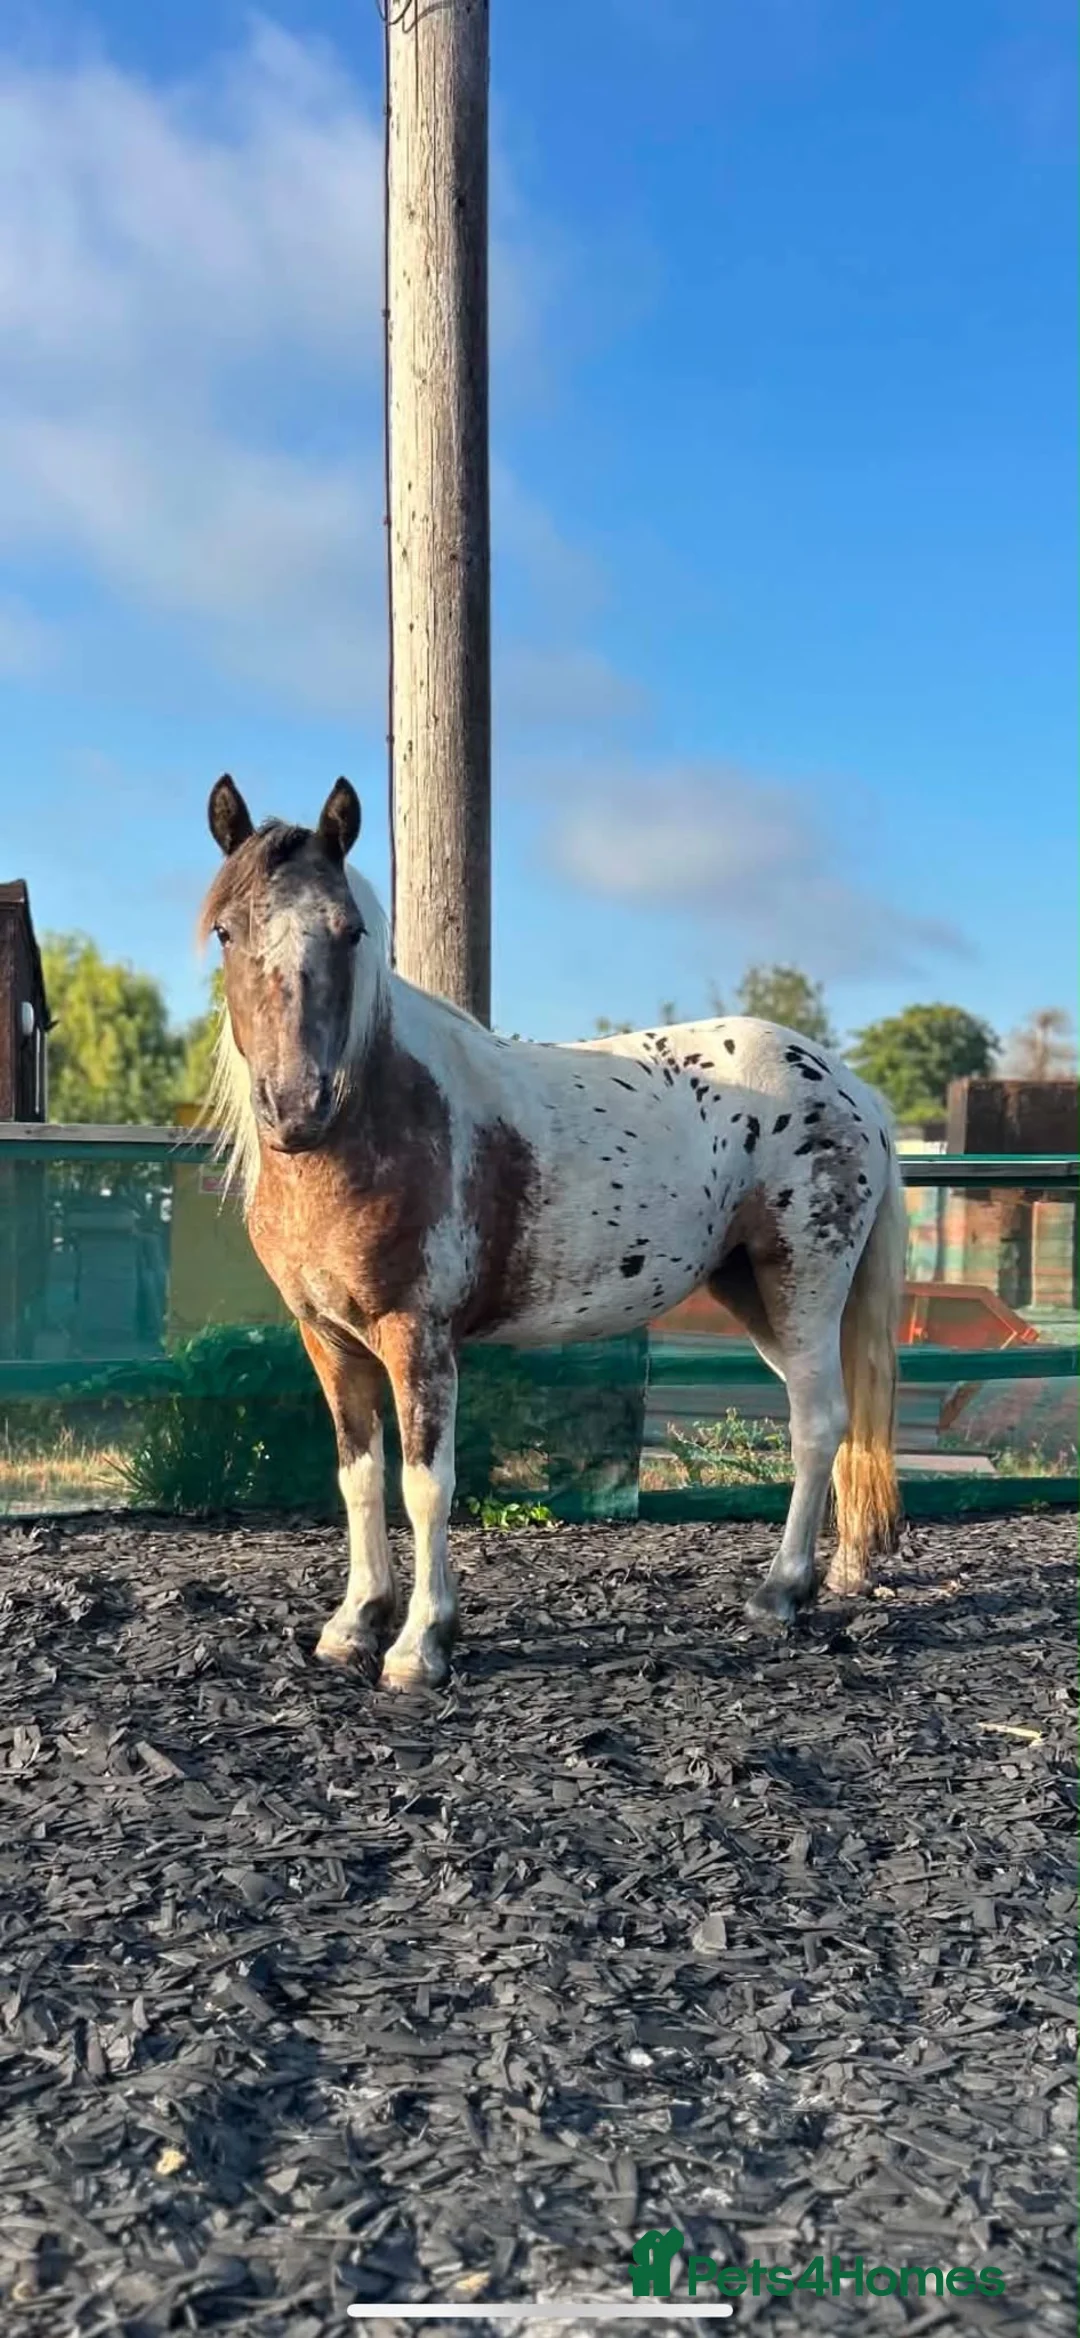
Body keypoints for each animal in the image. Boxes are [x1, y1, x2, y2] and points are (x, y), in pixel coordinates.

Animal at [198, 773, 907, 1692]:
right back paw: (825, 1578)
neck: (381, 1117)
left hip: (803, 1286)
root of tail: (847, 1084)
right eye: (227, 930)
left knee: (817, 1423)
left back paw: (779, 1593)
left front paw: (420, 1644)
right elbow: (358, 1479)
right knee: (829, 1420)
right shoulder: (328, 1339)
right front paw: (354, 1624)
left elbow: (425, 1485)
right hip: (754, 1293)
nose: (295, 1107)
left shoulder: (418, 1338)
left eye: (349, 931)